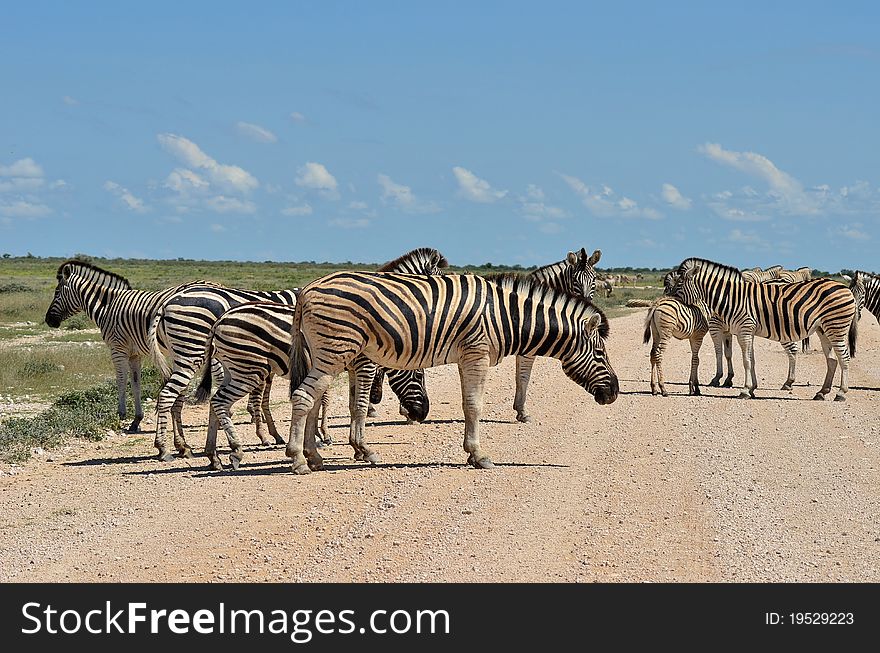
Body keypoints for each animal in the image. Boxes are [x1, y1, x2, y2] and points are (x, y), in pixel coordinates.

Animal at [44, 260, 211, 432]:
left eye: (57, 292)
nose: (48, 320)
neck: (107, 307)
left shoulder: (117, 348)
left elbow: (121, 379)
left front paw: (121, 414)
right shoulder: (134, 354)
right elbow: (136, 383)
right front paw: (136, 419)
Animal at [288, 270, 620, 474]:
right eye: (600, 354)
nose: (615, 393)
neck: (506, 316)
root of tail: (307, 290)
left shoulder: (466, 356)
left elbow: (467, 404)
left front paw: (472, 452)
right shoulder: (477, 353)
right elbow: (475, 406)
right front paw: (479, 455)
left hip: (325, 351)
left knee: (313, 398)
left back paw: (315, 457)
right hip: (336, 348)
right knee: (303, 397)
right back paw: (298, 460)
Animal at [512, 246, 600, 422]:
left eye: (594, 279)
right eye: (575, 280)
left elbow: (519, 376)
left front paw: (518, 409)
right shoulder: (528, 349)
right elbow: (524, 376)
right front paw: (522, 412)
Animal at [672, 258, 856, 400]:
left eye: (679, 284)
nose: (669, 301)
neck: (731, 298)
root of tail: (845, 287)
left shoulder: (744, 330)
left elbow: (745, 360)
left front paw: (744, 390)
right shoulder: (748, 331)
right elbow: (751, 360)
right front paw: (752, 389)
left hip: (836, 327)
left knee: (844, 358)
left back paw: (840, 393)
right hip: (823, 329)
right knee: (832, 360)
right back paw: (822, 392)